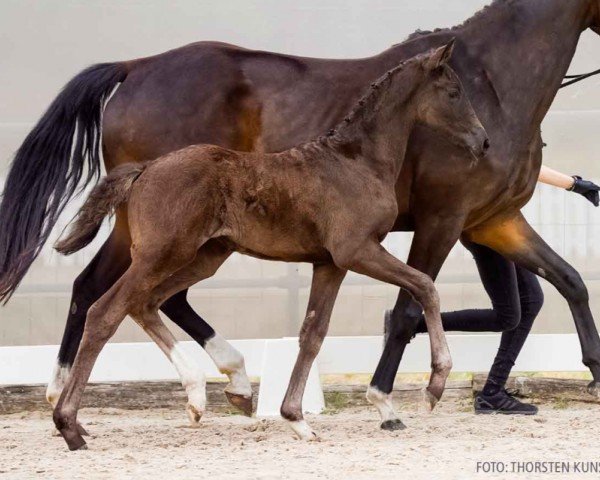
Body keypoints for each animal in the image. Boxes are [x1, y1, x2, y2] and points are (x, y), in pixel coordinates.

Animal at [54, 42, 490, 450]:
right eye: (454, 92)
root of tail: (145, 169)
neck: (357, 162)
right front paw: (434, 386)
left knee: (145, 303)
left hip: (203, 258)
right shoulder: (357, 251)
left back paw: (196, 397)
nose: (483, 142)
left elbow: (313, 333)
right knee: (104, 312)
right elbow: (425, 286)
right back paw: (69, 424)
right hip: (160, 255)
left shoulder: (330, 263)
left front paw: (296, 419)